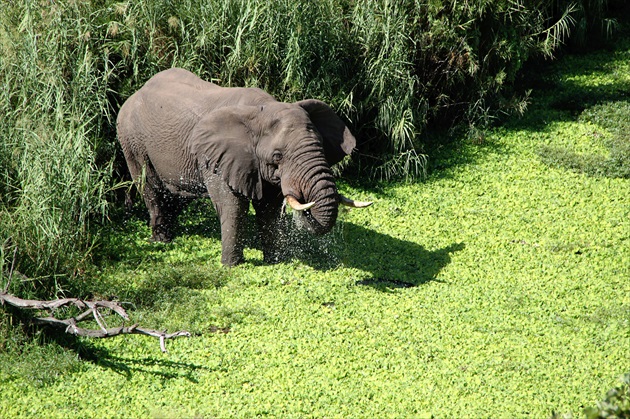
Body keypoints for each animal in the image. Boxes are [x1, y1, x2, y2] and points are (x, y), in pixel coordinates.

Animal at [117, 67, 370, 268]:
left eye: (321, 147)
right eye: (277, 156)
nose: (304, 200)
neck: (263, 109)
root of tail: (135, 92)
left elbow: (269, 209)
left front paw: (275, 261)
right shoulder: (217, 159)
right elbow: (233, 206)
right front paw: (231, 267)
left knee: (177, 195)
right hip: (131, 140)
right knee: (150, 188)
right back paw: (161, 241)